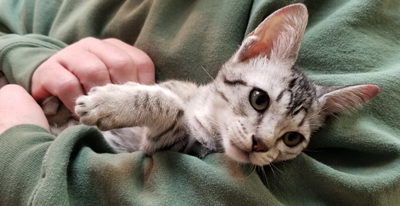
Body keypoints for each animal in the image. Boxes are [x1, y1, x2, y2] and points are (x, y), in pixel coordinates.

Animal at [47, 3, 382, 167]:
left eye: (292, 139)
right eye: (259, 99)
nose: (260, 145)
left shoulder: (166, 147)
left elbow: (170, 109)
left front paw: (108, 103)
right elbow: (167, 97)